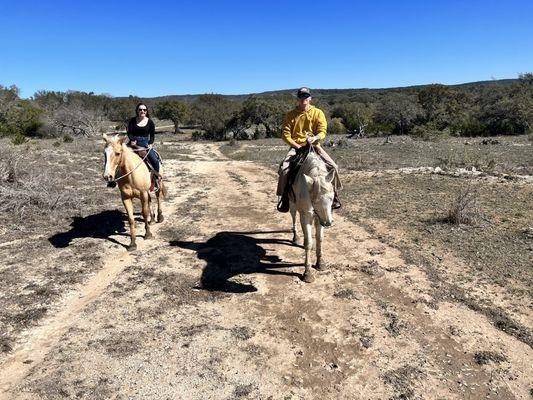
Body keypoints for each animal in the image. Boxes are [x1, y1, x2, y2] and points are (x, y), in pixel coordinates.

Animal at [288, 148, 334, 282]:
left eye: (332, 198)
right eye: (316, 201)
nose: (328, 223)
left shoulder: (320, 217)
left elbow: (319, 238)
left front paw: (320, 263)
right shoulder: (306, 216)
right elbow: (308, 242)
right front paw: (307, 273)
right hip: (292, 205)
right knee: (294, 217)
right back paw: (296, 237)